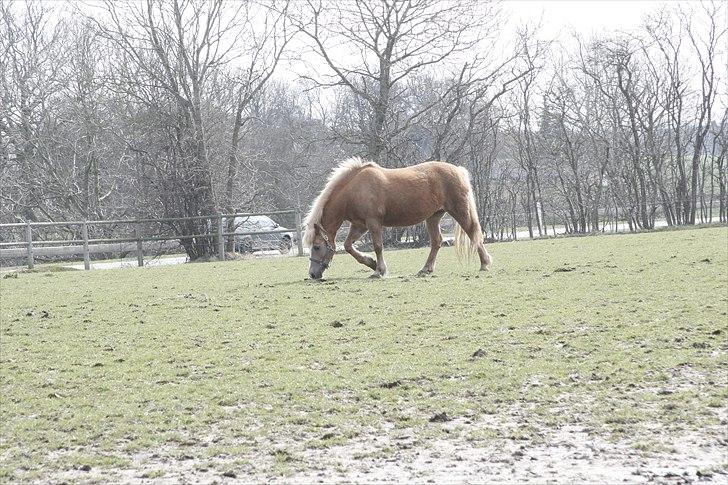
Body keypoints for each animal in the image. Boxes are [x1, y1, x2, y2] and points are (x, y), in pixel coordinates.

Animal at [298, 158, 492, 280]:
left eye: (316, 247)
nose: (312, 274)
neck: (354, 191)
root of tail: (458, 170)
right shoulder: (359, 225)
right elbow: (348, 246)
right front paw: (371, 263)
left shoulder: (373, 223)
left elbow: (378, 246)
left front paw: (379, 271)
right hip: (433, 217)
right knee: (437, 241)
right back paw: (426, 269)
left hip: (460, 210)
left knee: (473, 234)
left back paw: (485, 264)